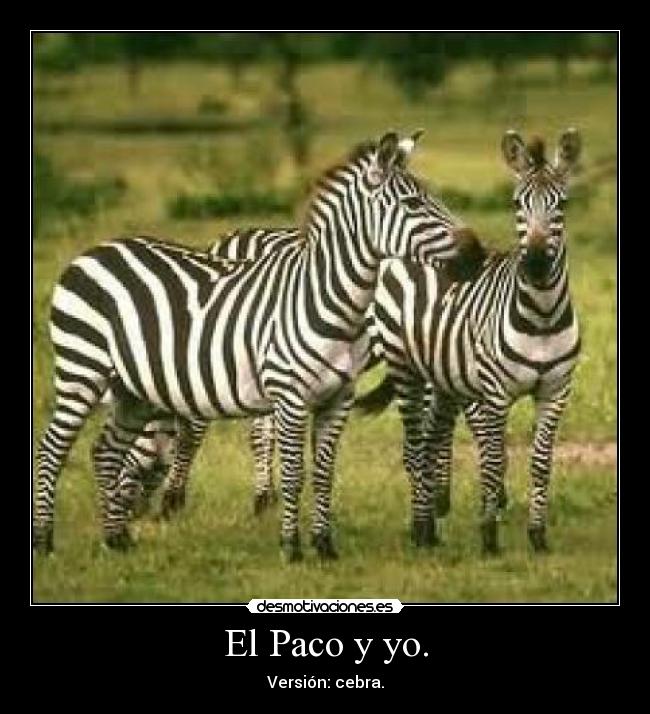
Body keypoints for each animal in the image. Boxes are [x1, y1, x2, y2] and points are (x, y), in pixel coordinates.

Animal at [34, 130, 470, 561]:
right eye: (413, 203)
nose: (476, 252)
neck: (326, 299)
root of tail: (94, 251)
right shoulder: (280, 389)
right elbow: (291, 471)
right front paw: (291, 547)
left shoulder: (337, 397)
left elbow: (323, 473)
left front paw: (323, 546)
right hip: (82, 368)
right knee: (53, 450)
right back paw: (46, 541)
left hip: (130, 388)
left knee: (104, 452)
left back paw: (115, 540)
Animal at [356, 128, 582, 554]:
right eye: (516, 204)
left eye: (561, 204)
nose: (536, 265)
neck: (542, 316)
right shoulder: (494, 393)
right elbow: (493, 460)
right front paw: (489, 536)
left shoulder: (555, 391)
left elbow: (541, 463)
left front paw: (537, 536)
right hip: (406, 367)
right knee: (415, 448)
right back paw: (422, 527)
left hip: (445, 377)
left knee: (431, 442)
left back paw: (431, 524)